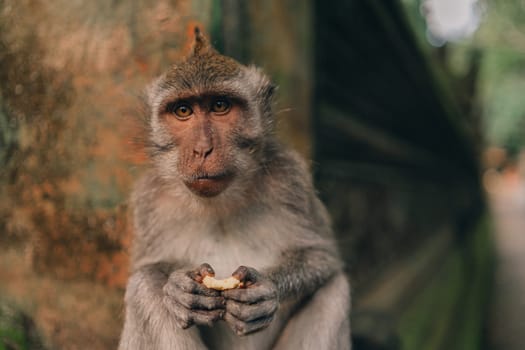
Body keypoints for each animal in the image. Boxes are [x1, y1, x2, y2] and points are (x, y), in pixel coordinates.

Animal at [116, 28, 350, 348]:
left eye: (220, 106)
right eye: (183, 110)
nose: (203, 149)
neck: (220, 203)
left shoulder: (291, 179)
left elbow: (321, 256)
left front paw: (267, 290)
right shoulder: (149, 200)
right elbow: (146, 269)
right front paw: (178, 287)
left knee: (333, 289)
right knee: (144, 288)